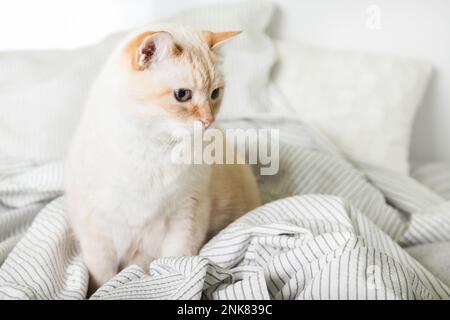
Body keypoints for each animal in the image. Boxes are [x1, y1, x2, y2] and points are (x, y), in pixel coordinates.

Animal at [63, 25, 260, 292]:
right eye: (182, 94)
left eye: (215, 94)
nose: (208, 121)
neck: (155, 149)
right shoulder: (97, 229)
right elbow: (102, 278)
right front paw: (99, 291)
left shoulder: (186, 213)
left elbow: (175, 261)